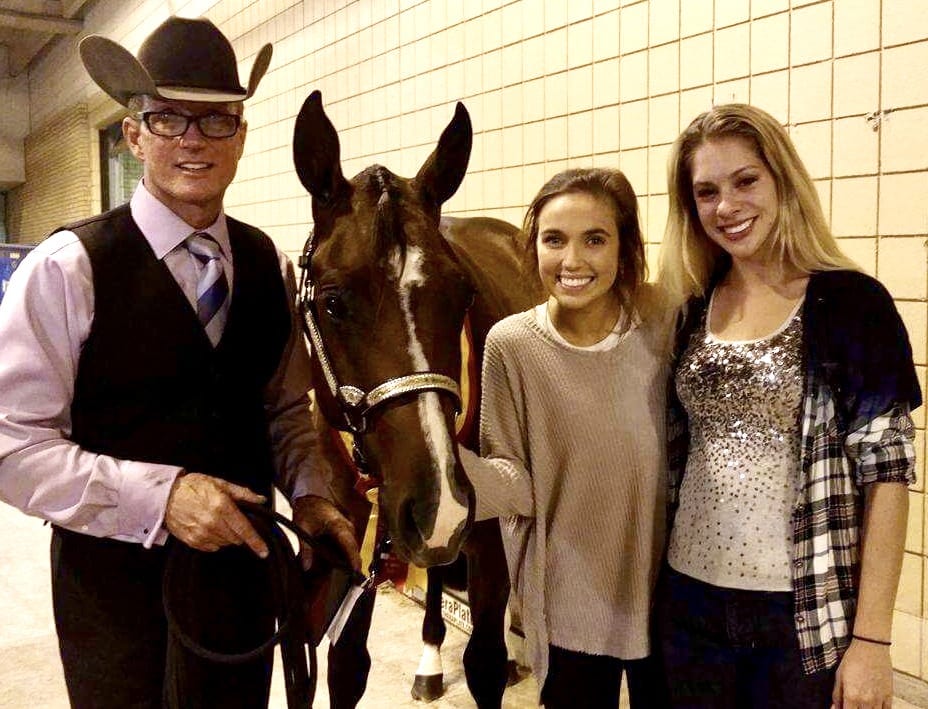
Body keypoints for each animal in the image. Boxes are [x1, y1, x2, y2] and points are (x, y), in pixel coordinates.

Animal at [290, 91, 536, 704]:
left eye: (462, 294)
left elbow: (484, 662)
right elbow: (343, 665)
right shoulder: (342, 544)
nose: (437, 505)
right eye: (333, 302)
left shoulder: (482, 538)